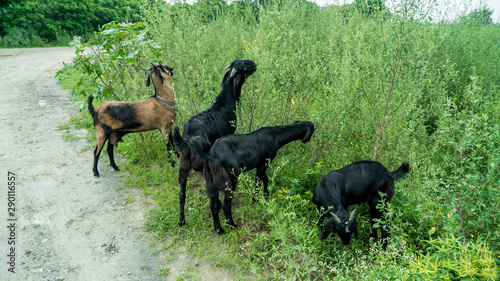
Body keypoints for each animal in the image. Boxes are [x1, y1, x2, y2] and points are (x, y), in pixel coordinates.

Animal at [173, 58, 258, 225]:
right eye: (244, 66)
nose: (254, 64)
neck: (224, 103)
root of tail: (187, 140)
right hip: (206, 169)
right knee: (212, 196)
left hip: (182, 168)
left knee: (181, 194)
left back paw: (181, 220)